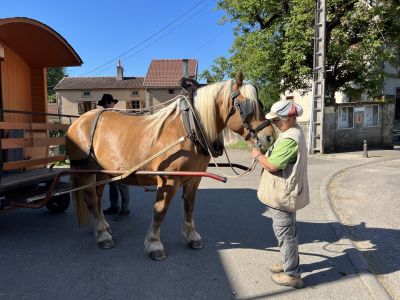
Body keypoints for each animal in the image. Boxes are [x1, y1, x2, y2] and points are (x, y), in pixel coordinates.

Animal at [66, 75, 276, 260]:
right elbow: (160, 211)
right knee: (92, 201)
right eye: (246, 105)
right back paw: (103, 235)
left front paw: (192, 236)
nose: (270, 137)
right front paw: (154, 243)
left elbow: (189, 207)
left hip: (102, 174)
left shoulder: (193, 179)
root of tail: (78, 121)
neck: (190, 129)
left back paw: (104, 227)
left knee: (97, 198)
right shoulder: (168, 180)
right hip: (87, 171)